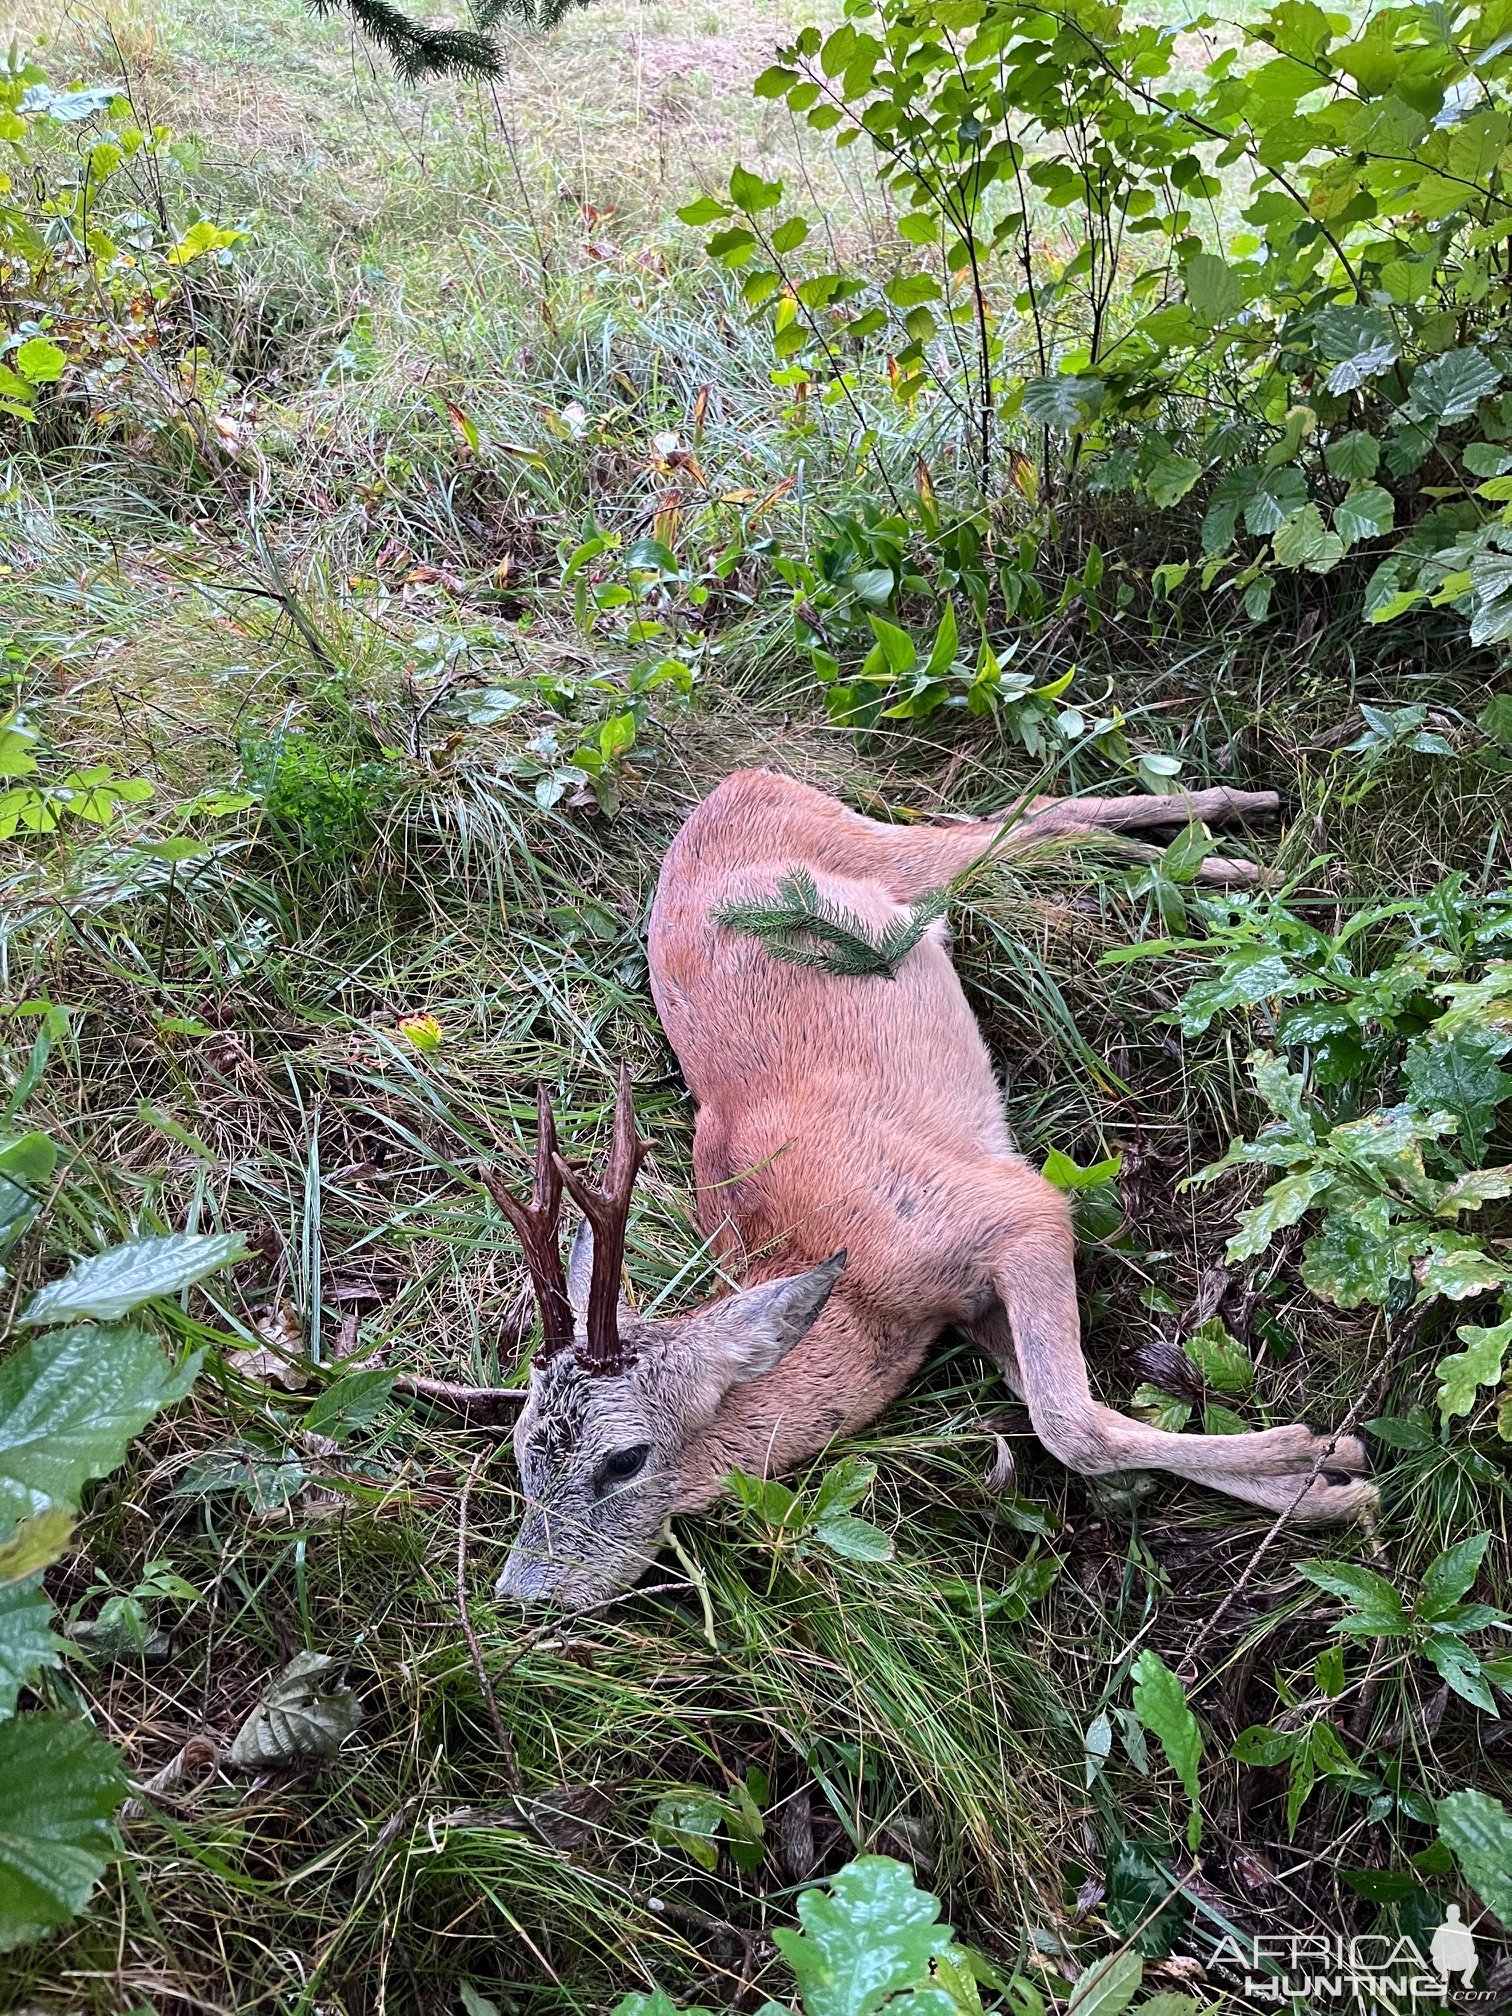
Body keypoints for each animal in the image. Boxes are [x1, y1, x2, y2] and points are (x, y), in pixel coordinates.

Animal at [491, 766, 1378, 1604]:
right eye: (521, 1455)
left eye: (625, 1460)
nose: (521, 1594)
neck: (857, 1291)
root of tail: (738, 784)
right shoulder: (970, 1308)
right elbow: (1073, 1408)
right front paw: (1329, 1479)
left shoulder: (1015, 1210)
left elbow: (1068, 1427)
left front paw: (1311, 1448)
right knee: (1037, 822)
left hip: (891, 857)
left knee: (1036, 816)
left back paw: (1252, 839)